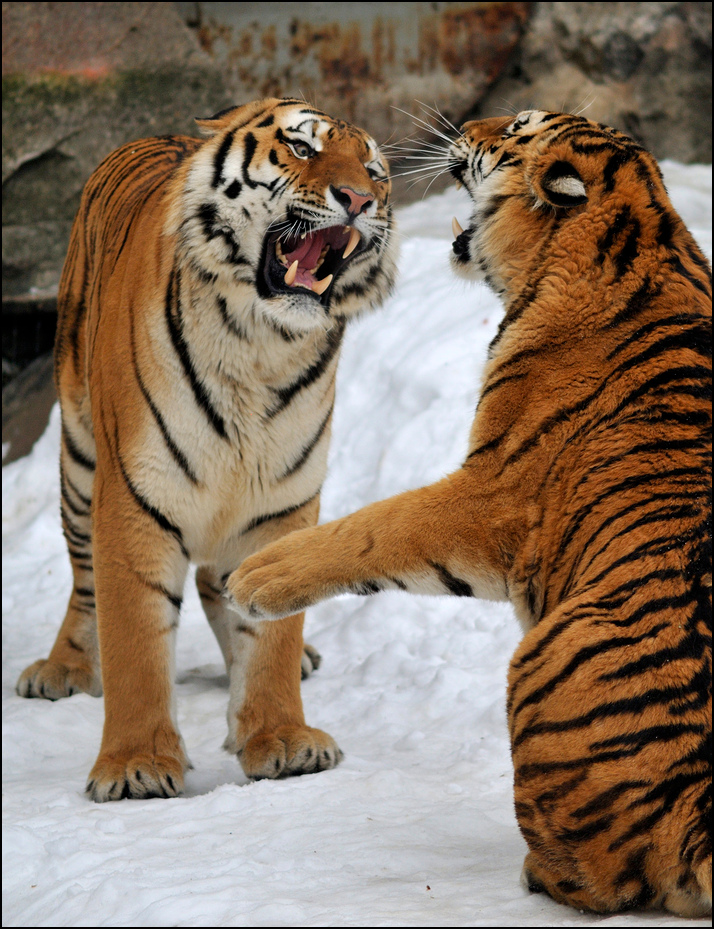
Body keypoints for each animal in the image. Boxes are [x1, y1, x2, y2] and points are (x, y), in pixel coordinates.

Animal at [15, 97, 398, 802]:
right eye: (302, 149)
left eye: (376, 172)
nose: (359, 198)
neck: (262, 346)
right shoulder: (136, 496)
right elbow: (136, 638)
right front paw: (135, 765)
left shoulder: (282, 500)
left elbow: (270, 636)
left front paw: (280, 738)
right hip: (79, 460)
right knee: (84, 580)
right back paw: (62, 669)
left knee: (219, 582)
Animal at [226, 110, 712, 916]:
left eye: (514, 126)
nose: (466, 127)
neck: (647, 233)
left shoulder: (492, 492)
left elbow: (375, 528)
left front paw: (256, 577)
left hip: (540, 655)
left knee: (602, 880)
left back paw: (537, 874)